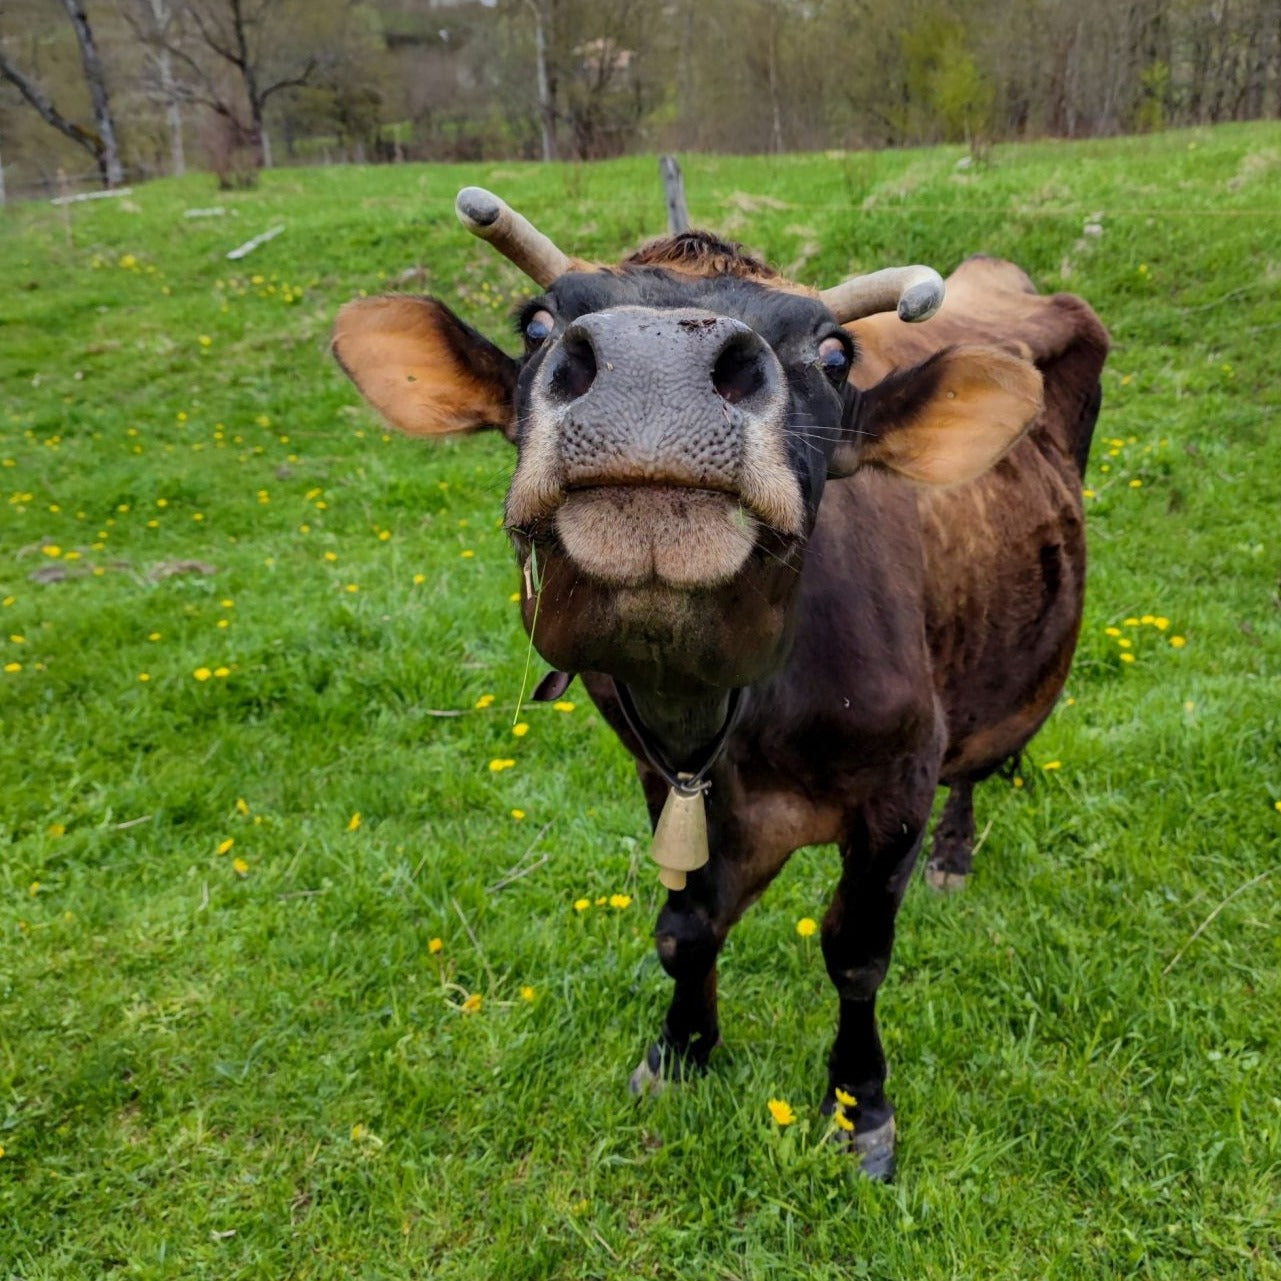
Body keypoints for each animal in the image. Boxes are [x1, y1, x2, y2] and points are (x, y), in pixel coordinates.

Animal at [335, 185, 1106, 1173]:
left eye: (833, 353)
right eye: (537, 321)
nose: (654, 368)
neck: (734, 712)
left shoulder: (898, 782)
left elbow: (855, 951)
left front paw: (859, 1106)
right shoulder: (661, 772)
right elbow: (684, 927)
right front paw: (679, 1050)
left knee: (976, 762)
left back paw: (953, 854)